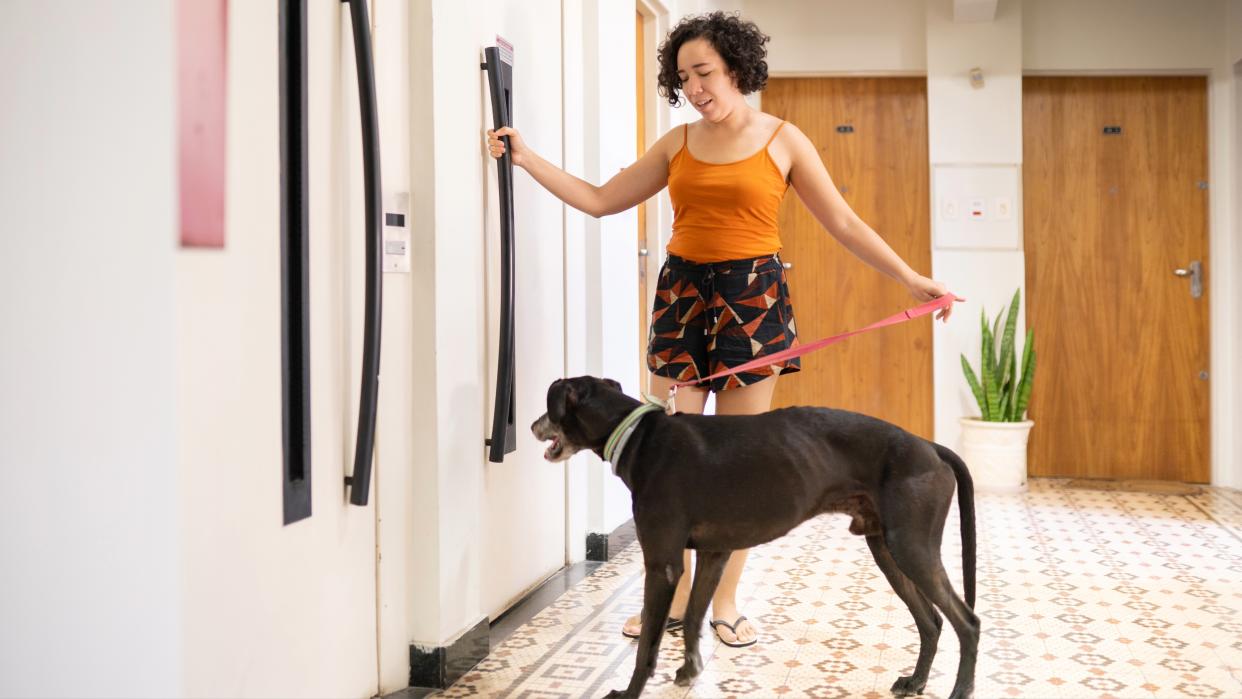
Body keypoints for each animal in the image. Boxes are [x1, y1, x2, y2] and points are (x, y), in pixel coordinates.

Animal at [529, 377, 973, 699]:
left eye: (550, 405)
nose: (532, 425)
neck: (640, 434)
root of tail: (929, 446)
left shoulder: (662, 565)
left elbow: (646, 648)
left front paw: (627, 693)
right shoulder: (714, 553)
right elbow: (692, 619)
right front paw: (689, 670)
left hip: (911, 548)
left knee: (967, 621)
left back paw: (960, 689)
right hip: (888, 550)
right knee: (932, 622)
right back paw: (915, 682)